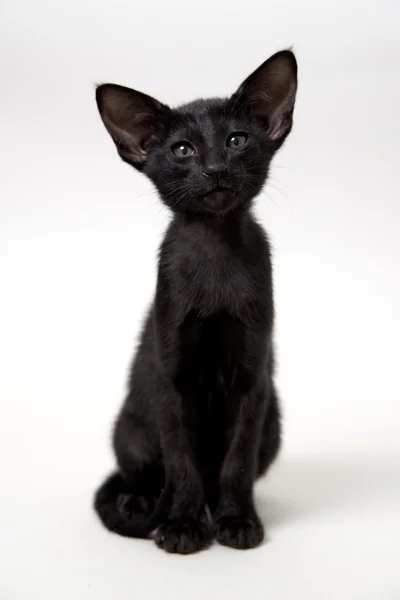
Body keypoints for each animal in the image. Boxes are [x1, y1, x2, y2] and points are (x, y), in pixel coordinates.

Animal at [94, 50, 296, 552]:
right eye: (182, 150)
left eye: (237, 140)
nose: (216, 169)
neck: (215, 249)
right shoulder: (172, 380)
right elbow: (182, 463)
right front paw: (183, 526)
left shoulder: (252, 380)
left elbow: (236, 464)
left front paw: (237, 521)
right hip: (131, 427)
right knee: (145, 474)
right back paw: (140, 503)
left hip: (274, 420)